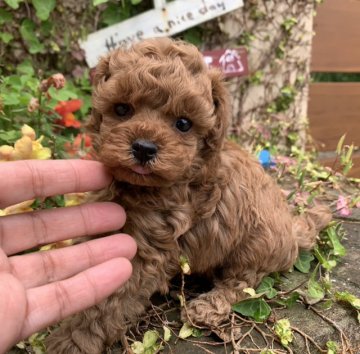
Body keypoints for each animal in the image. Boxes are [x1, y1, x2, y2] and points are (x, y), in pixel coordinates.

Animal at [46, 37, 330, 352]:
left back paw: (207, 306)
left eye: (183, 124)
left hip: (256, 245)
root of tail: (293, 231)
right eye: (121, 109)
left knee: (242, 283)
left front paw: (71, 340)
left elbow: (107, 302)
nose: (144, 148)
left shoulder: (146, 251)